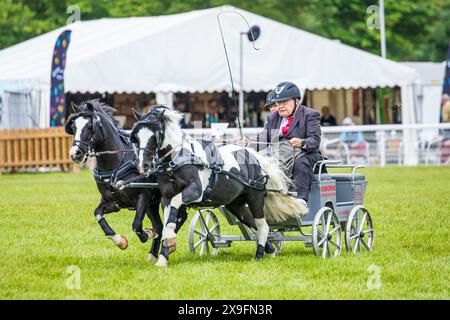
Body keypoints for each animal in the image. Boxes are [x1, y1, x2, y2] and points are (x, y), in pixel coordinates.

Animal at [64, 101, 187, 262]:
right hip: (152, 204)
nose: (75, 153)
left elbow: (136, 225)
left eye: (90, 127)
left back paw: (168, 243)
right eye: (73, 127)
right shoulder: (113, 203)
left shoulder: (143, 197)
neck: (116, 164)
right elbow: (97, 214)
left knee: (176, 219)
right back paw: (154, 254)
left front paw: (148, 233)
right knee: (163, 224)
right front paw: (120, 241)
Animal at [128, 105, 308, 268]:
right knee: (251, 221)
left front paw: (169, 241)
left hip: (255, 198)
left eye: (155, 136)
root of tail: (253, 155)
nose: (143, 165)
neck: (177, 160)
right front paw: (163, 257)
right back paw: (270, 251)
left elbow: (174, 212)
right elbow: (168, 221)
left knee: (263, 226)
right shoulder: (166, 198)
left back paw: (259, 254)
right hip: (235, 204)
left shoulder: (196, 192)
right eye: (136, 137)